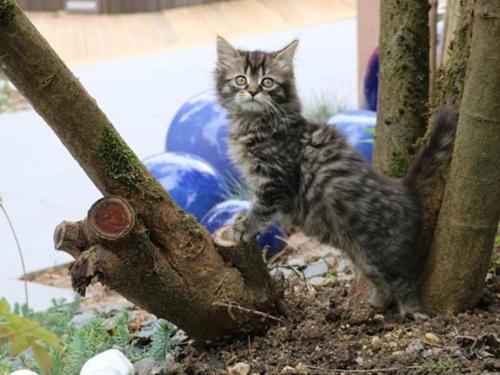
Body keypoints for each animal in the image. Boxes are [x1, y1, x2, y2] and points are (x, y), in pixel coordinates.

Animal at [215, 37, 458, 314]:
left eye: (267, 82)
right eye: (241, 80)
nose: (253, 91)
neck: (253, 123)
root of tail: (403, 188)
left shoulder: (277, 181)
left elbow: (261, 209)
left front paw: (243, 227)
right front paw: (240, 218)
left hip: (380, 250)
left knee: (402, 279)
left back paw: (413, 312)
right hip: (359, 253)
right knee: (382, 282)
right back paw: (373, 306)